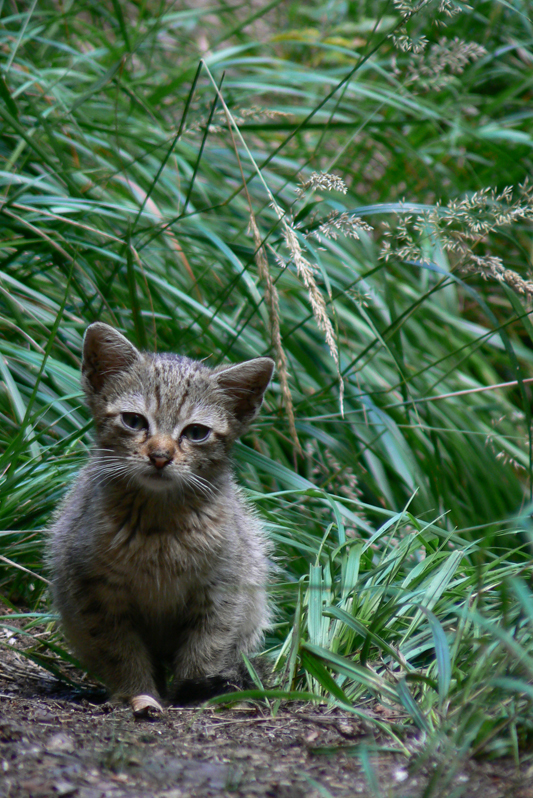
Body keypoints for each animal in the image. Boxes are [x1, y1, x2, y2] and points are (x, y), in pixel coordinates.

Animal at [47, 324, 274, 720]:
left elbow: (206, 650)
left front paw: (194, 693)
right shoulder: (96, 594)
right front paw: (137, 693)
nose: (160, 455)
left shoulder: (223, 590)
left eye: (196, 432)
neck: (159, 529)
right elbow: (122, 653)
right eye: (134, 420)